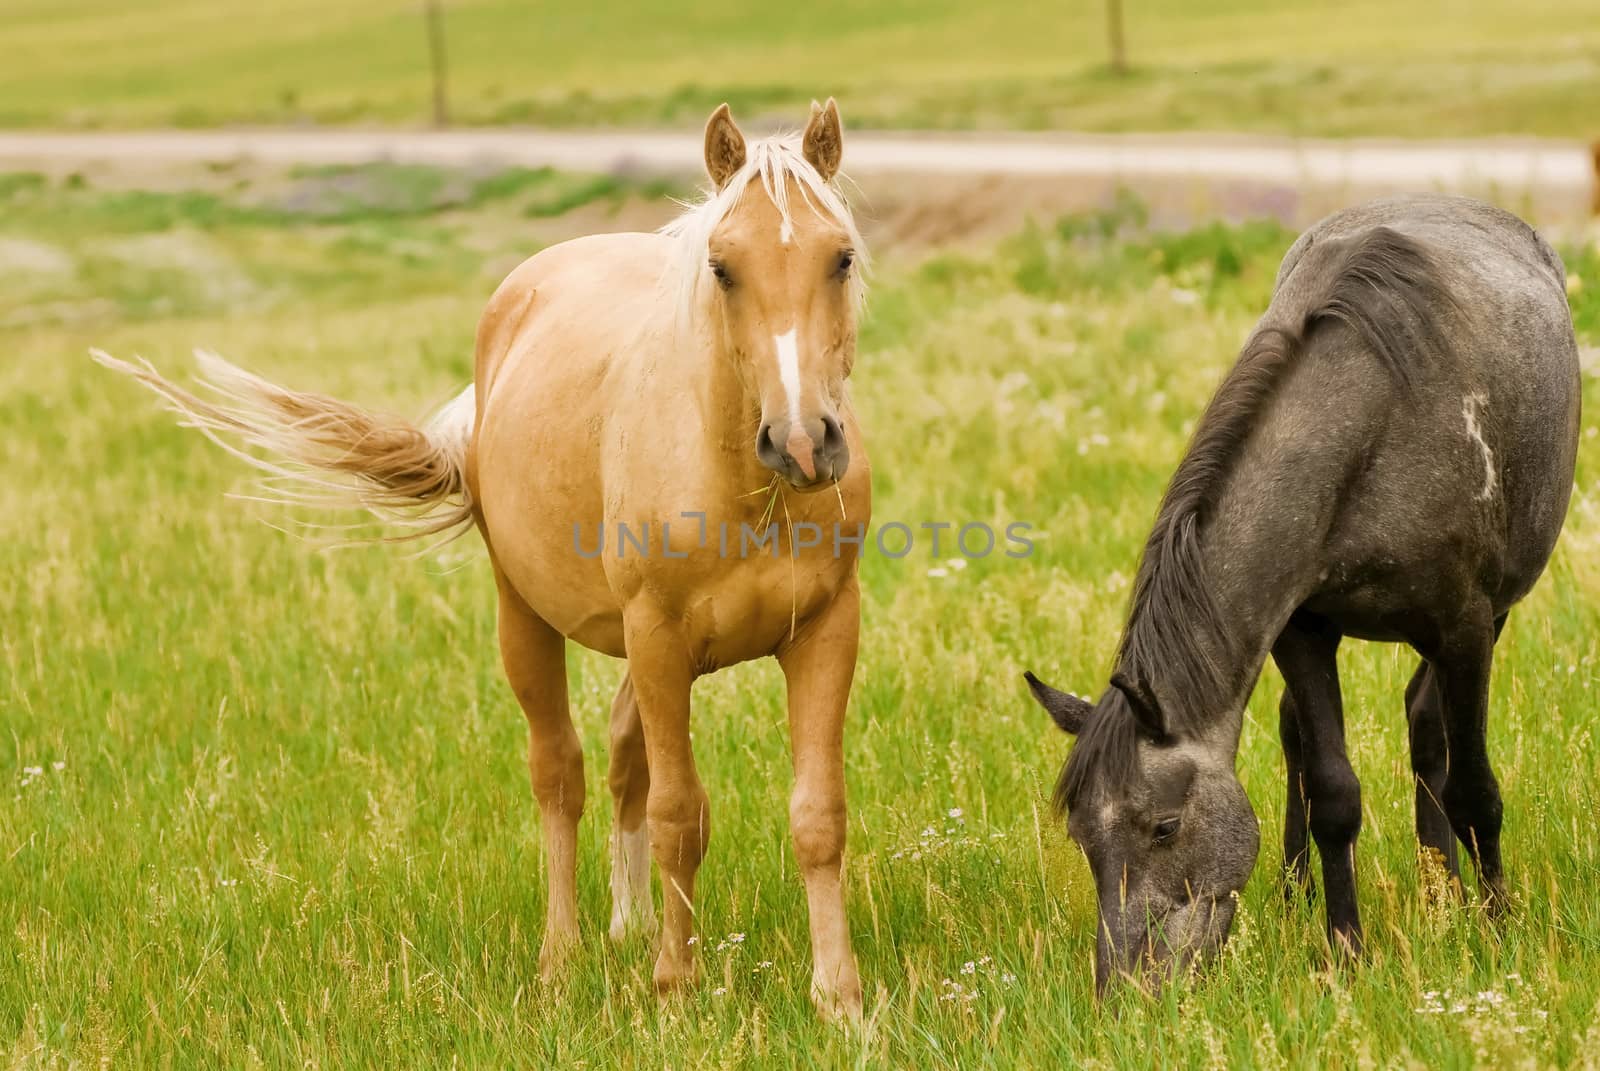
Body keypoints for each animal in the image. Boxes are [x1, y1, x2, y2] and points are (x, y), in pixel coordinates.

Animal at [96, 100, 876, 1018]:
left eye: (841, 256)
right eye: (723, 268)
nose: (802, 440)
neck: (746, 489)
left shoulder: (822, 631)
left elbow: (817, 815)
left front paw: (840, 1000)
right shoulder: (657, 639)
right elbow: (681, 812)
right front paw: (676, 990)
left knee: (621, 756)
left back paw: (629, 927)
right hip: (527, 618)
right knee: (561, 772)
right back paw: (563, 956)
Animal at [1030, 194, 1580, 992]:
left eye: (1163, 827)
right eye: (1081, 836)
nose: (1126, 990)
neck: (1374, 426)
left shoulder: (1467, 627)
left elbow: (1475, 788)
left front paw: (1499, 928)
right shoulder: (1301, 631)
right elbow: (1333, 794)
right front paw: (1345, 948)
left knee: (1428, 728)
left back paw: (1443, 887)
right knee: (1312, 732)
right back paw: (1308, 892)